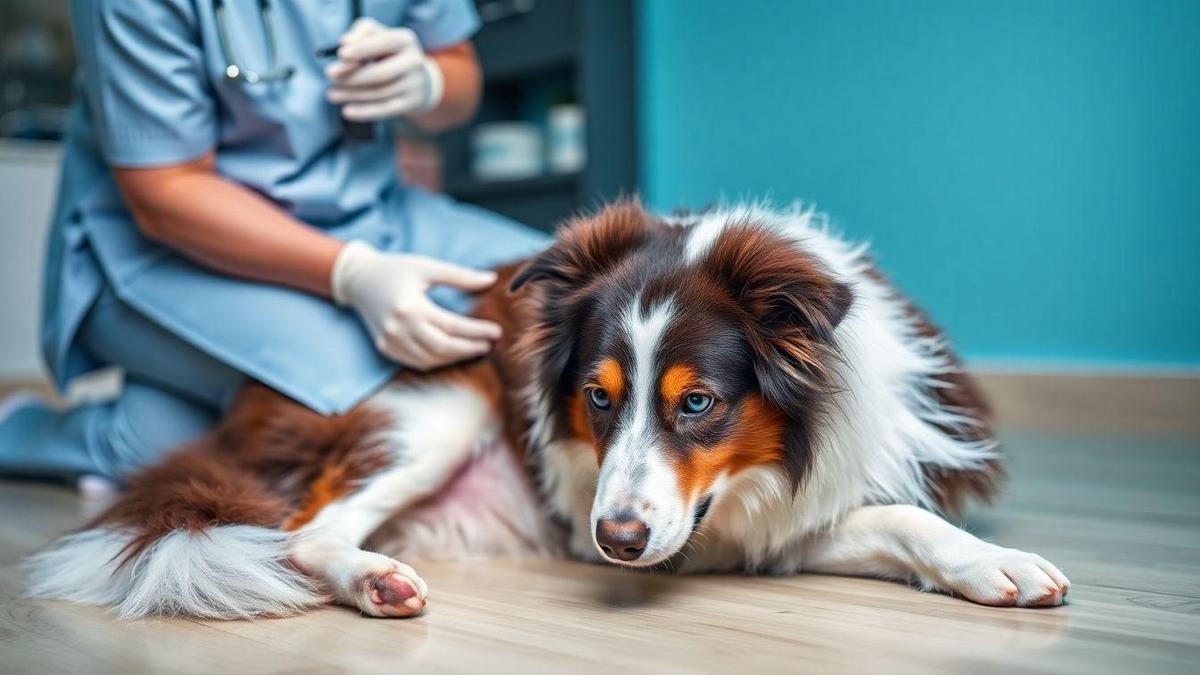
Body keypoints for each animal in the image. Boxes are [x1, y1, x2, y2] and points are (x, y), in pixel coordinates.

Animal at [23, 201, 1070, 619]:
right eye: (595, 398)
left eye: (698, 402)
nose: (614, 541)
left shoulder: (752, 520)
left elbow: (895, 517)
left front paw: (995, 564)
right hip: (435, 406)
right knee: (302, 531)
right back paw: (375, 580)